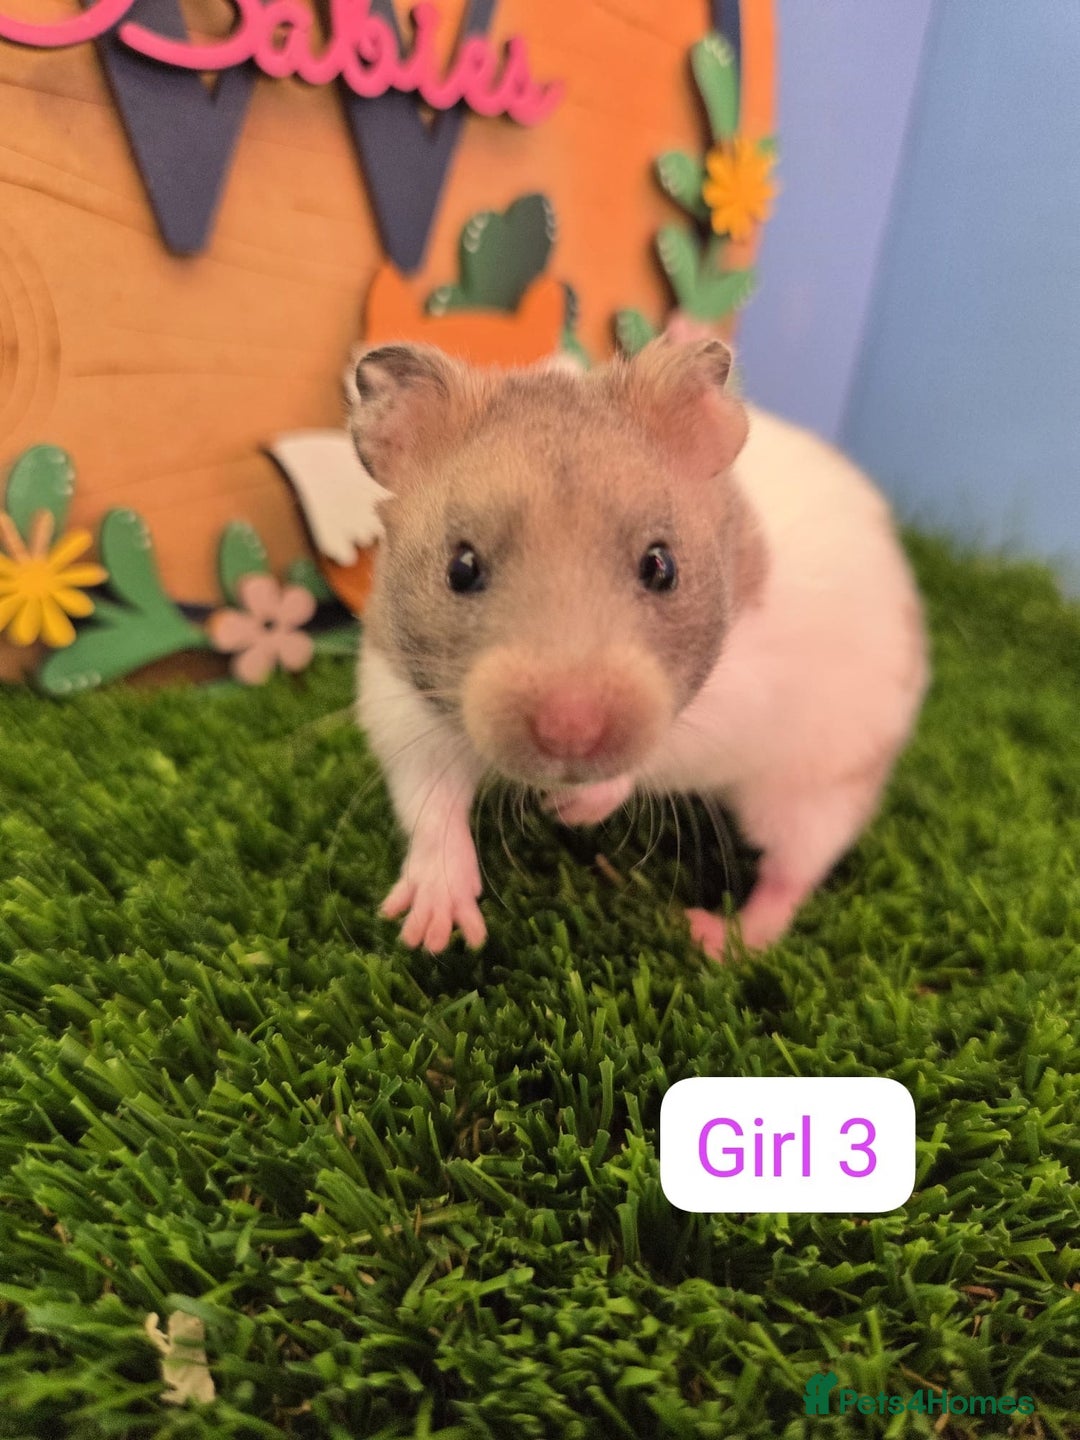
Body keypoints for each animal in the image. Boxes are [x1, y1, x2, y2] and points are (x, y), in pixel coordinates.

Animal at [346, 337, 928, 958]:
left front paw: (569, 810)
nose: (570, 733)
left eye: (661, 566)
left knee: (791, 876)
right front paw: (432, 932)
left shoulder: (740, 694)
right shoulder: (397, 692)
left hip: (822, 787)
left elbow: (661, 751)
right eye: (461, 568)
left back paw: (713, 937)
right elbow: (430, 798)